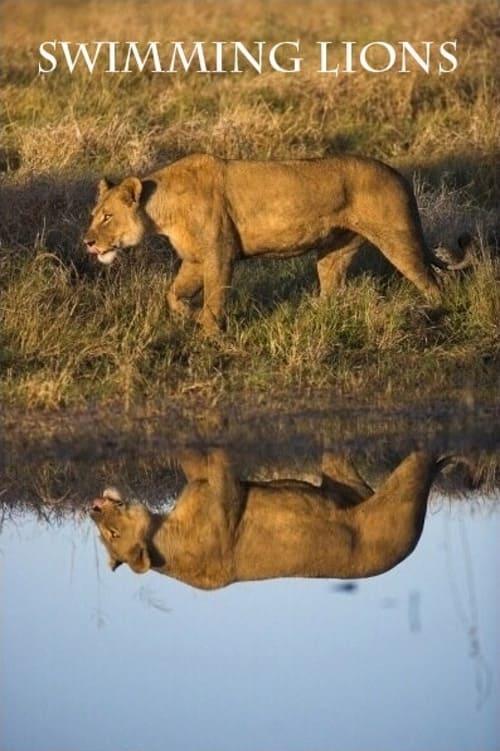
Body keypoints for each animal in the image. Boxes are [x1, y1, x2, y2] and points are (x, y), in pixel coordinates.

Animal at [84, 154, 462, 334]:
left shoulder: (220, 256)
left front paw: (208, 333)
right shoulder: (194, 259)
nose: (87, 242)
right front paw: (190, 316)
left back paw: (434, 313)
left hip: (398, 239)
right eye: (94, 215)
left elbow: (215, 297)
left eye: (107, 217)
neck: (161, 210)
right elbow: (172, 294)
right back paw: (316, 318)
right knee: (331, 289)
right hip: (334, 251)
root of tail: (398, 173)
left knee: (432, 281)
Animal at [89, 450, 450, 592]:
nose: (92, 510)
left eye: (109, 533)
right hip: (400, 497)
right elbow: (214, 461)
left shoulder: (211, 484)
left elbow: (193, 460)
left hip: (346, 485)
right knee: (422, 461)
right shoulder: (225, 493)